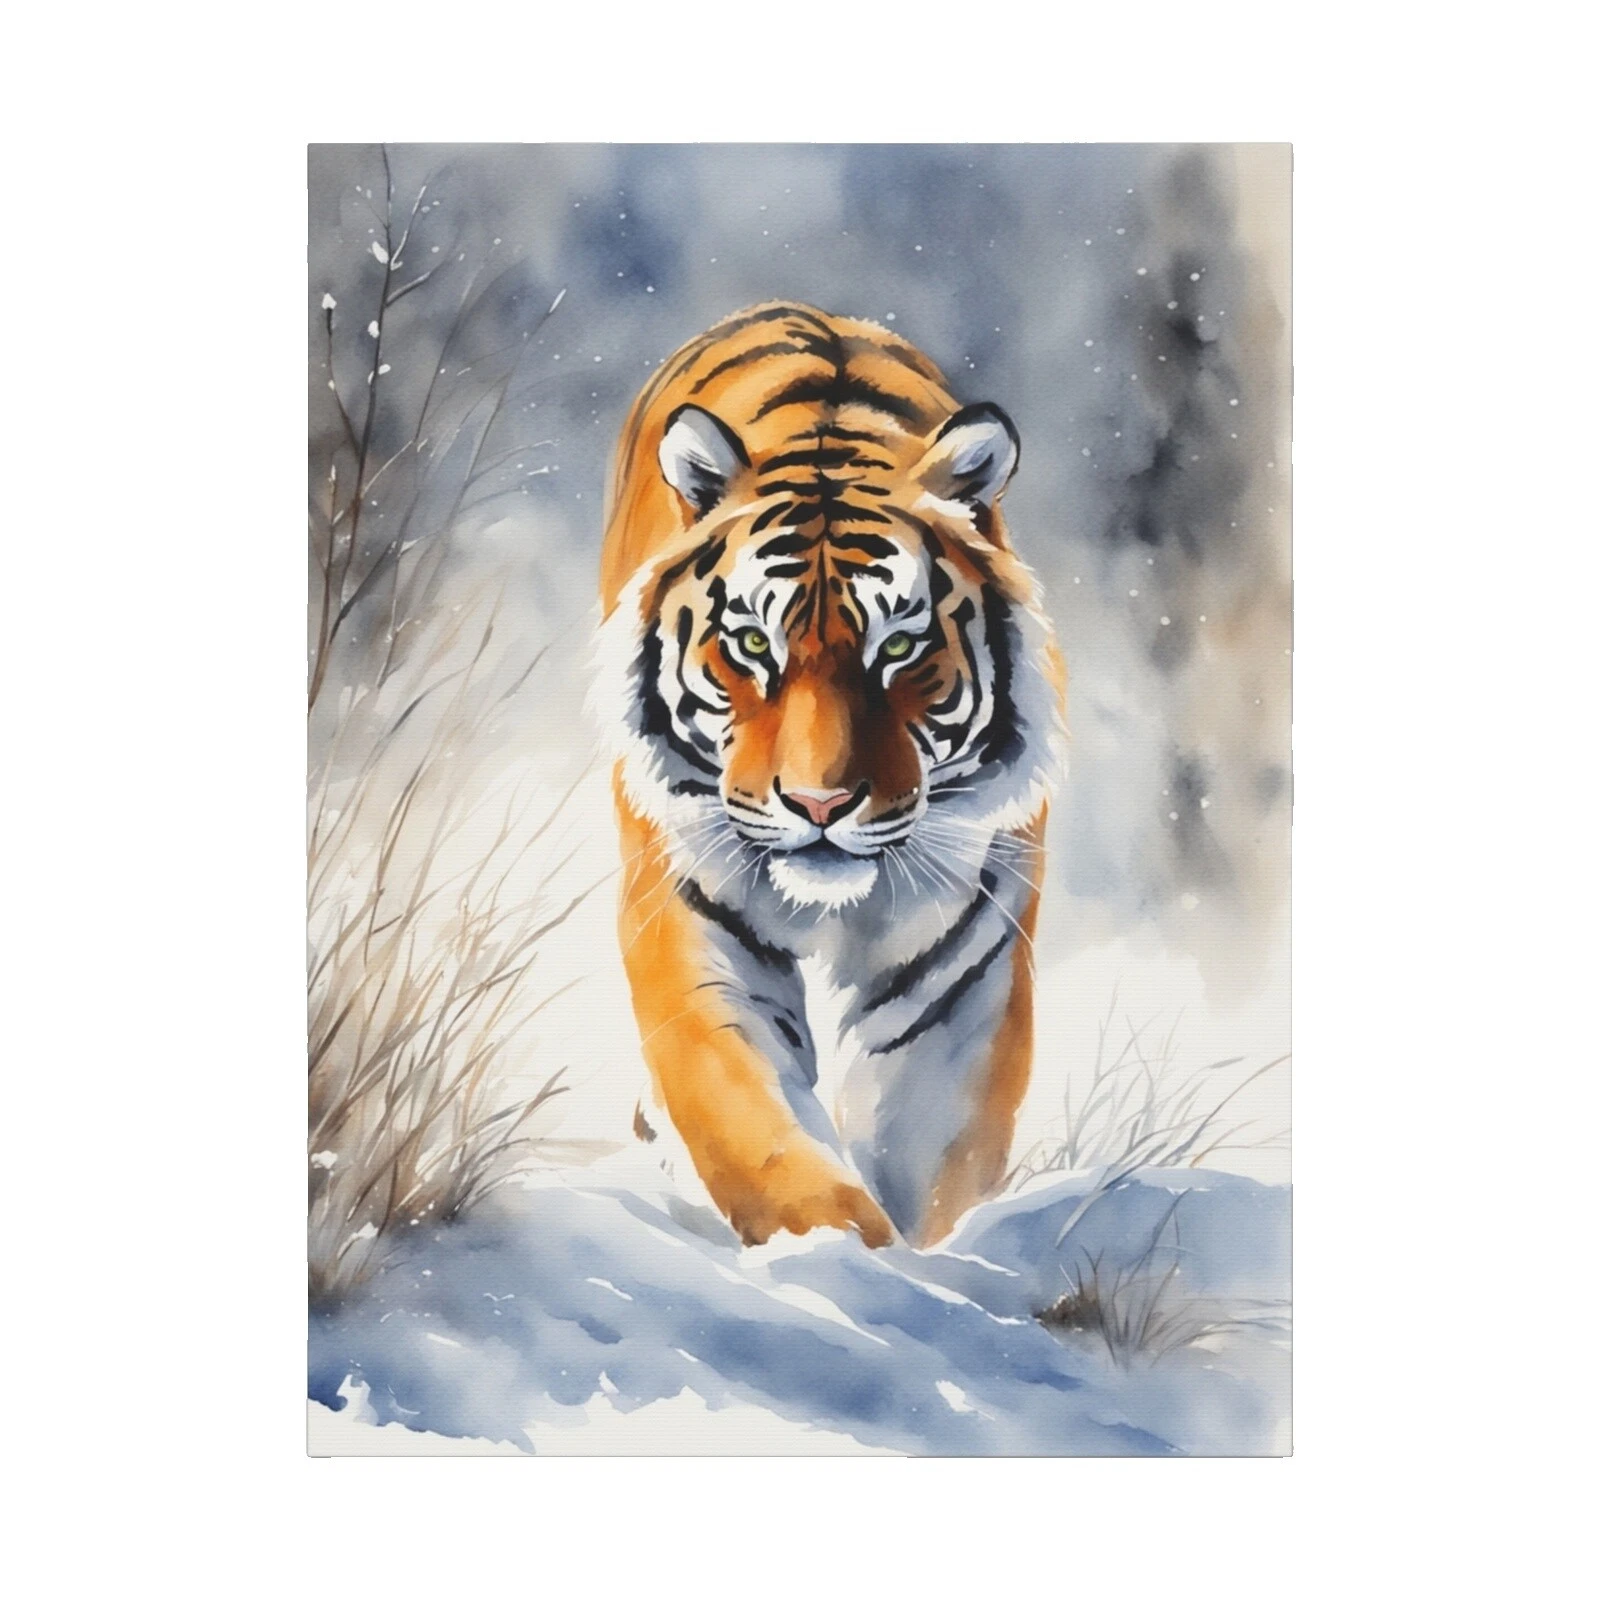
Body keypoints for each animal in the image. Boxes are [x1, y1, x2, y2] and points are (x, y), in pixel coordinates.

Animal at [594, 302, 1066, 1250]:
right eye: (750, 643)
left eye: (900, 647)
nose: (820, 803)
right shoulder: (687, 920)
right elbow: (761, 1133)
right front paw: (839, 1253)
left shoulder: (962, 971)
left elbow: (931, 1154)